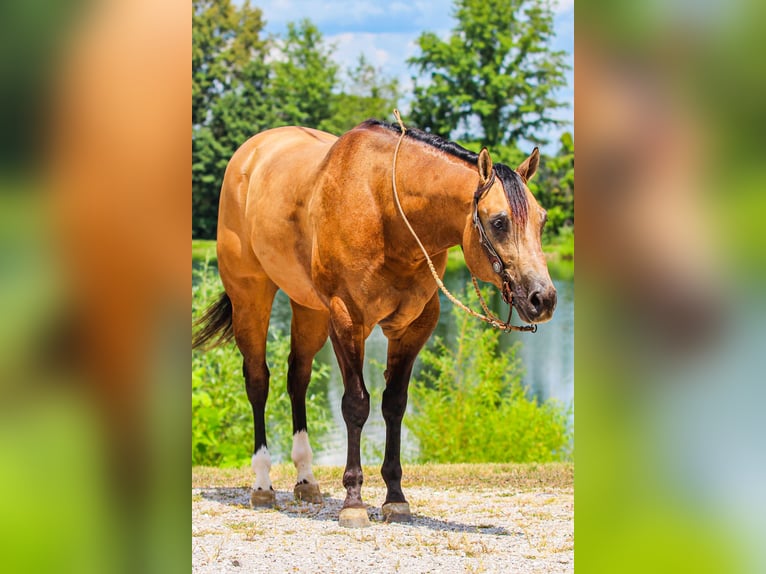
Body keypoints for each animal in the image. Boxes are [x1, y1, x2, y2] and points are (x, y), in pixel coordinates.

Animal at [192, 118, 557, 527]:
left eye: (542, 219)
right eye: (498, 222)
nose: (543, 299)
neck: (387, 213)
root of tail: (249, 154)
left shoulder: (413, 327)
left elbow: (393, 404)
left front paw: (395, 497)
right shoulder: (347, 320)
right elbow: (355, 405)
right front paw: (353, 501)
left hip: (308, 309)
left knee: (297, 378)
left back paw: (306, 479)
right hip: (251, 297)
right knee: (258, 381)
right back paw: (262, 484)